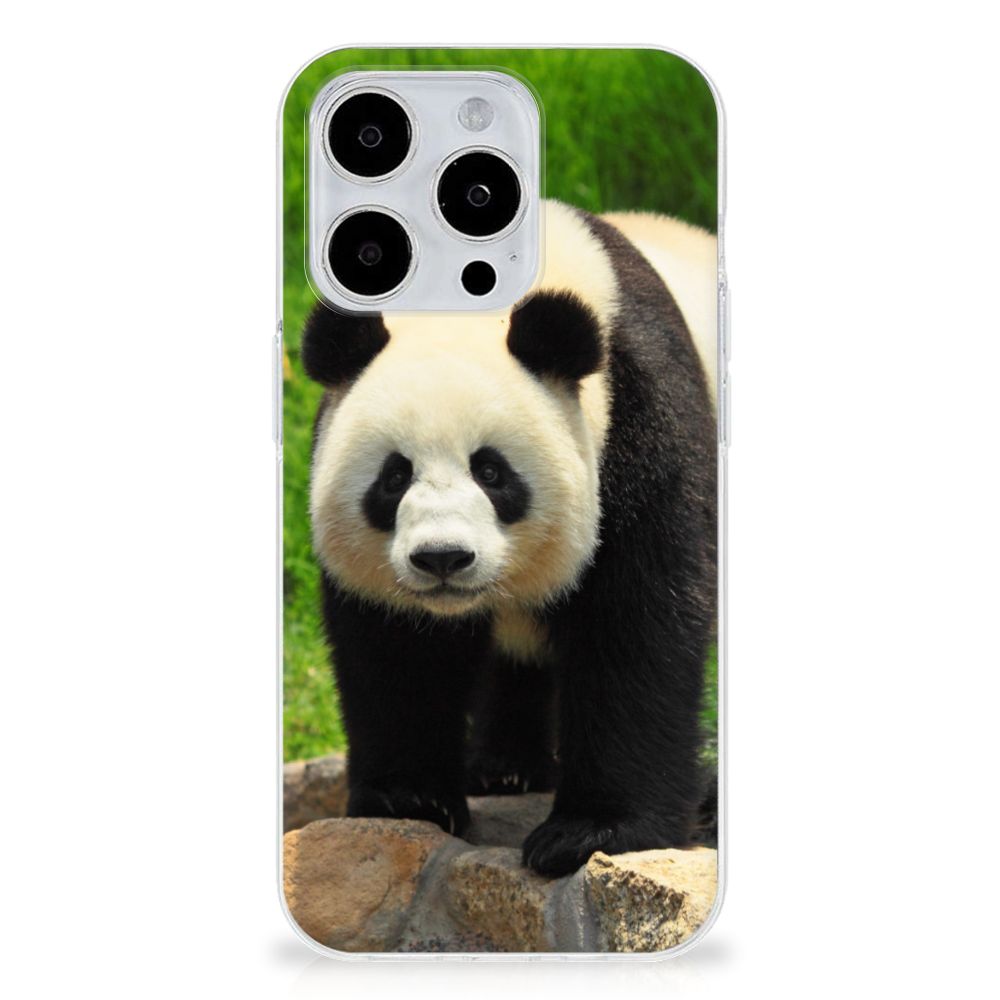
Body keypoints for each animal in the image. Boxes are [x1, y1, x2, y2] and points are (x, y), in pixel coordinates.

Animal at [301, 200, 718, 877]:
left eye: (492, 472)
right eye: (394, 476)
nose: (442, 558)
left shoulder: (642, 424)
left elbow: (637, 625)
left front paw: (592, 832)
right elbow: (398, 648)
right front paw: (408, 798)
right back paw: (504, 769)